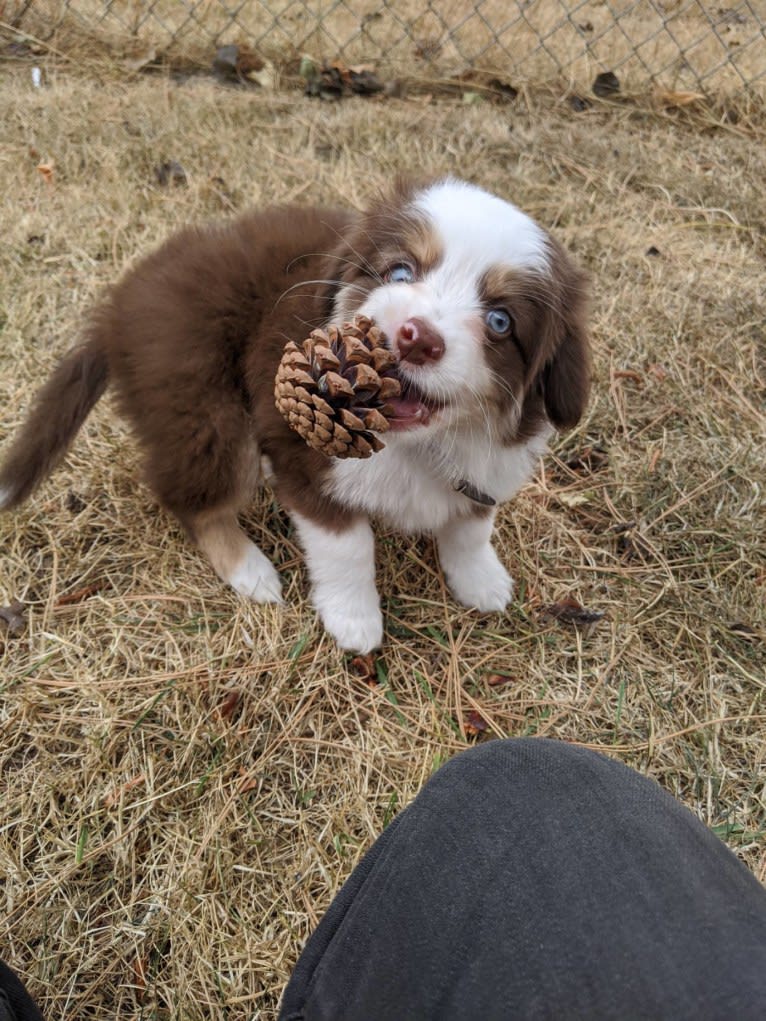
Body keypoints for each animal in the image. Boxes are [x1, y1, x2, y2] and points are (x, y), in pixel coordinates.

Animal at [0, 178, 592, 649]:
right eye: (400, 271)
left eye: (500, 321)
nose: (416, 337)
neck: (418, 445)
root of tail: (116, 309)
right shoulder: (308, 463)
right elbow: (348, 546)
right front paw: (355, 622)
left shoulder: (485, 468)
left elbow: (471, 526)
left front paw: (481, 581)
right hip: (209, 413)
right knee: (191, 500)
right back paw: (249, 570)